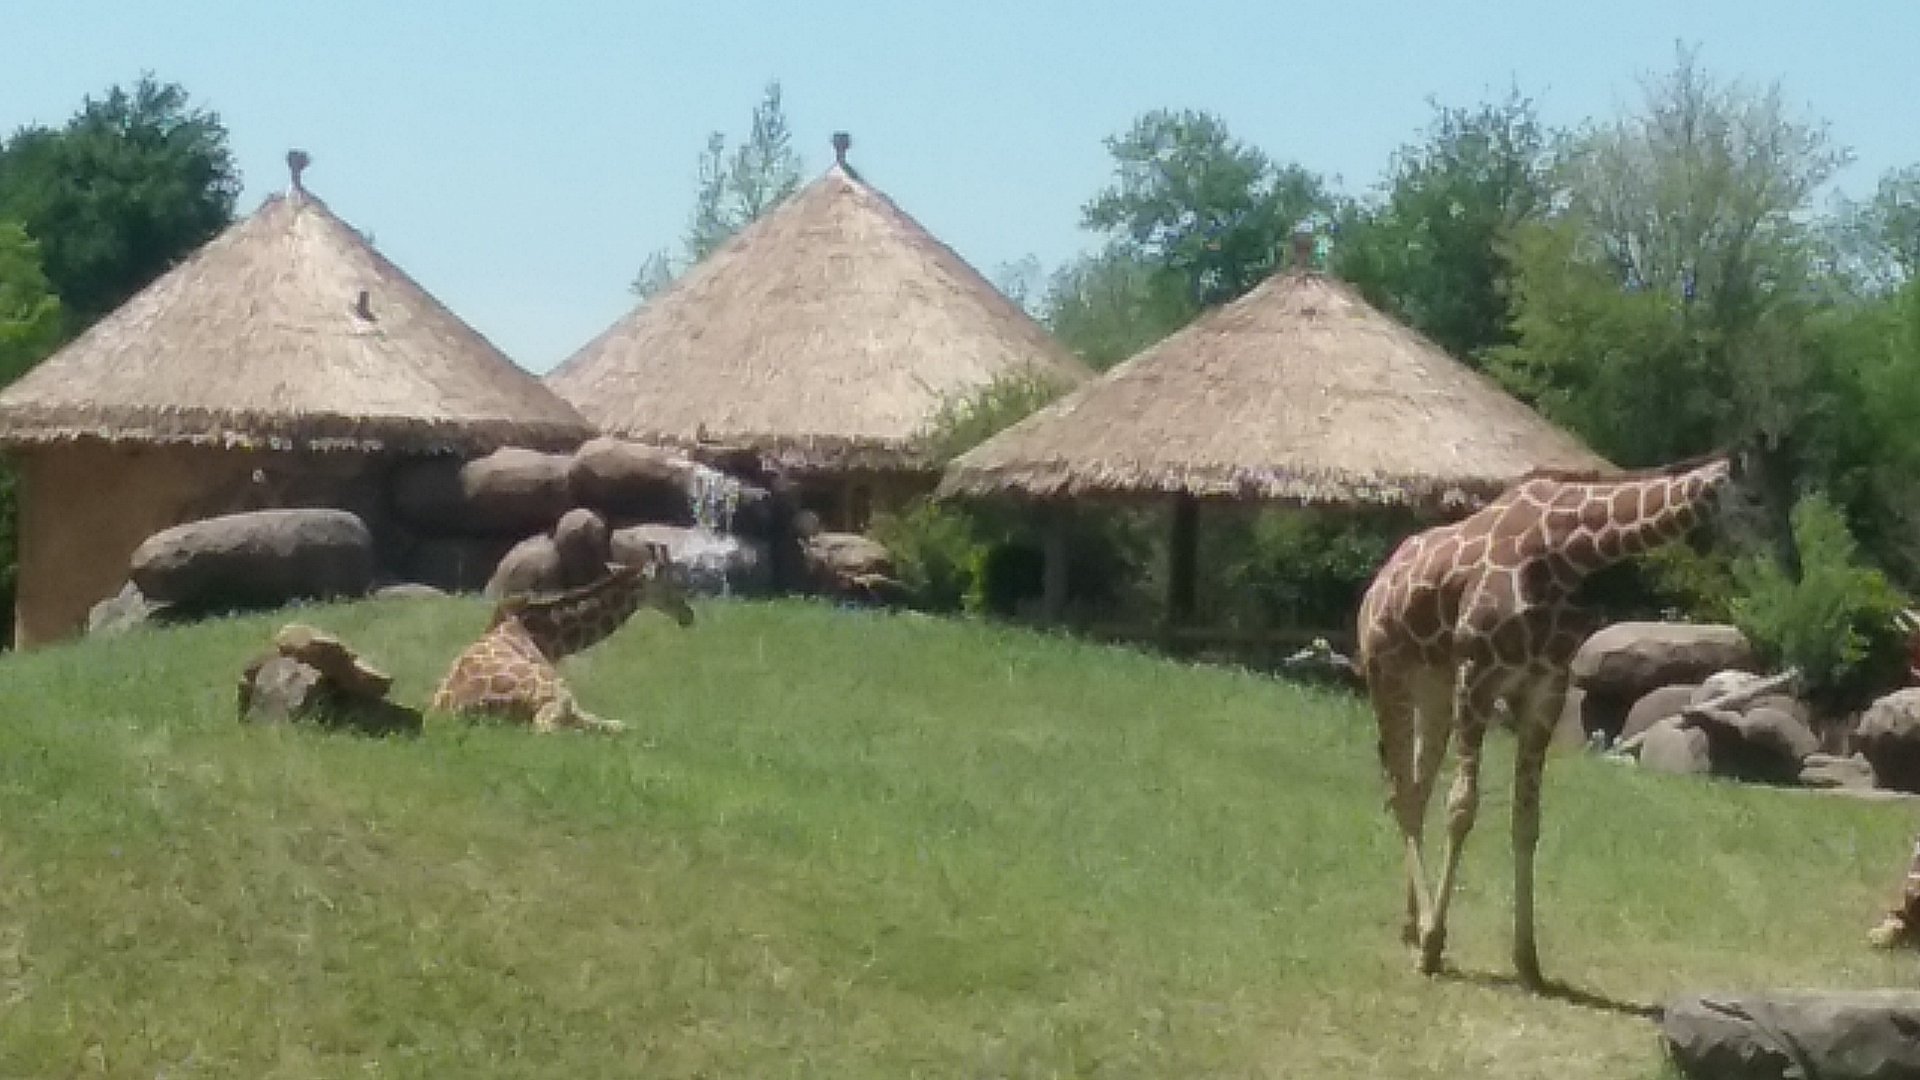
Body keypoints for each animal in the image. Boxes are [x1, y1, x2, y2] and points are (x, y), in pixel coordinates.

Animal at [430, 552, 694, 733]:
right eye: (672, 584)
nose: (688, 615)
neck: (544, 637)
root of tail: (453, 713)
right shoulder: (562, 697)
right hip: (556, 695)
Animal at [1356, 451, 1747, 988]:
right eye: (1749, 498)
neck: (1565, 552)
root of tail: (1378, 584)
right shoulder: (1478, 677)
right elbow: (1462, 809)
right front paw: (1437, 945)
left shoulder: (1544, 692)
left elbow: (1527, 822)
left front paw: (1528, 960)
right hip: (1386, 675)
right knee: (1403, 794)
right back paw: (1424, 938)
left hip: (1432, 688)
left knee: (1415, 788)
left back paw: (1410, 925)